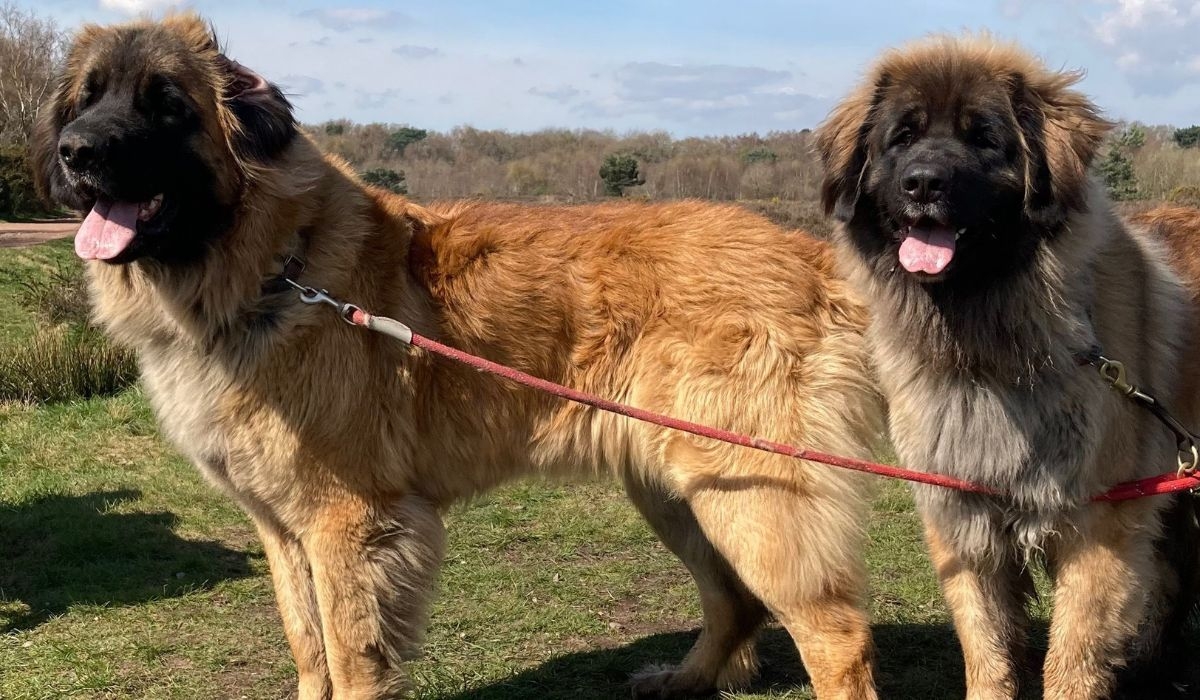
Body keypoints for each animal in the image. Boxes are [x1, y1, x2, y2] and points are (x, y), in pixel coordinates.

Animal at [32, 12, 888, 700]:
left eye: (166, 104)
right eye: (88, 98)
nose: (76, 152)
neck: (274, 266)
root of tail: (811, 255)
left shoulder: (348, 523)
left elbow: (348, 657)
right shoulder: (282, 529)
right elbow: (307, 646)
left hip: (756, 500)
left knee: (835, 637)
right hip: (678, 486)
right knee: (734, 600)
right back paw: (683, 679)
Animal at [816, 38, 1200, 700]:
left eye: (985, 139)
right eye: (902, 138)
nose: (923, 183)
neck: (986, 345)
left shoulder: (1098, 520)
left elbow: (1071, 657)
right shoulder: (964, 515)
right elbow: (988, 646)